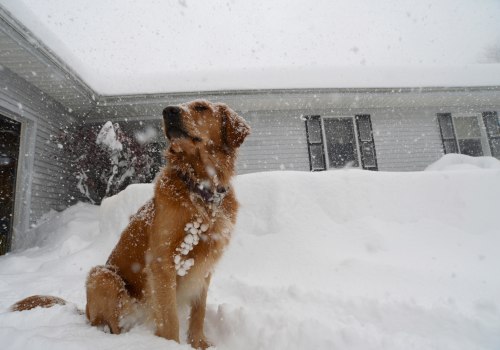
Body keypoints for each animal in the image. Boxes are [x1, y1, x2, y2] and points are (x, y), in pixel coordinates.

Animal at [12, 100, 250, 348]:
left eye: (201, 107)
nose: (168, 111)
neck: (201, 189)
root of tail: (84, 310)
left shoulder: (205, 264)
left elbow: (199, 312)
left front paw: (199, 343)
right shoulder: (162, 261)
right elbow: (169, 318)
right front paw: (171, 344)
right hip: (102, 276)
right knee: (113, 326)